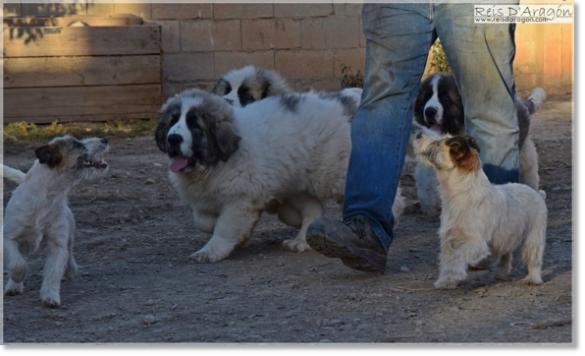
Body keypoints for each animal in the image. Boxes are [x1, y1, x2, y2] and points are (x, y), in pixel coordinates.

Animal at [3, 135, 108, 308]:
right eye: (76, 144)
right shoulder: (8, 238)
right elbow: (17, 263)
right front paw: (17, 278)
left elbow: (53, 272)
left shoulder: (57, 244)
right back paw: (13, 286)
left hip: (69, 234)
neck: (47, 198)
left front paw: (50, 296)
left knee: (69, 253)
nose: (104, 140)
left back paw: (70, 270)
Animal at [408, 124, 544, 290]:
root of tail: (537, 194)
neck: (460, 192)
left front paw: (454, 276)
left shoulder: (475, 244)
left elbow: (457, 257)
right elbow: (447, 261)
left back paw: (533, 278)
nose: (418, 135)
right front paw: (446, 280)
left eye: (439, 143)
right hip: (507, 237)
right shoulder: (449, 240)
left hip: (534, 238)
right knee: (506, 254)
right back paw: (501, 271)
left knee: (534, 259)